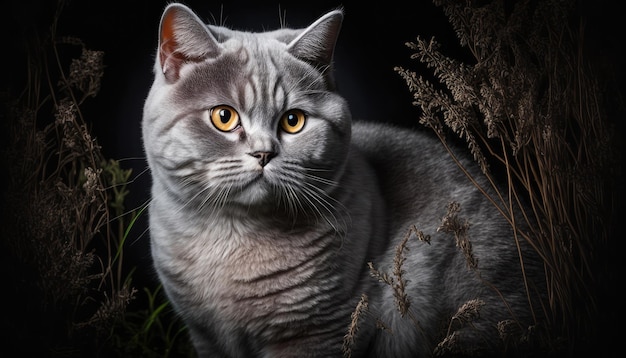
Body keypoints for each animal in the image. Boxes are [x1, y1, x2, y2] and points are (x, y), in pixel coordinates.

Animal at [140, 3, 540, 358]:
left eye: (293, 121)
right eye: (223, 117)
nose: (264, 153)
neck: (233, 237)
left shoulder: (320, 332)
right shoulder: (205, 335)